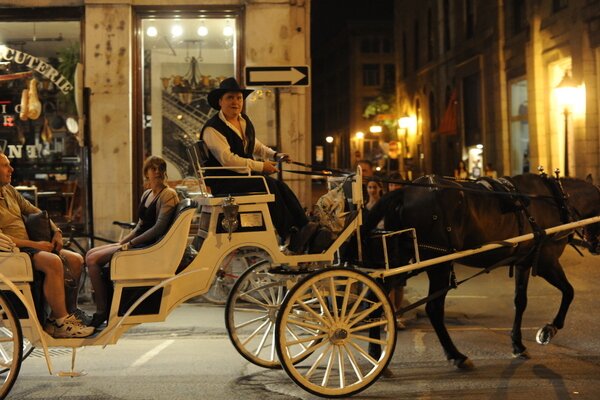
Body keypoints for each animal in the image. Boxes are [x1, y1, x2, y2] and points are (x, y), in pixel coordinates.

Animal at [366, 172, 600, 368]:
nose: (596, 247)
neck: (554, 200)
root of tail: (405, 192)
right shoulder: (546, 262)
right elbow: (569, 292)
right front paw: (549, 329)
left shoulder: (523, 263)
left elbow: (520, 302)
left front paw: (518, 344)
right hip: (437, 264)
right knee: (433, 308)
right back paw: (455, 355)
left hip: (401, 260)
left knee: (375, 300)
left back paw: (375, 353)